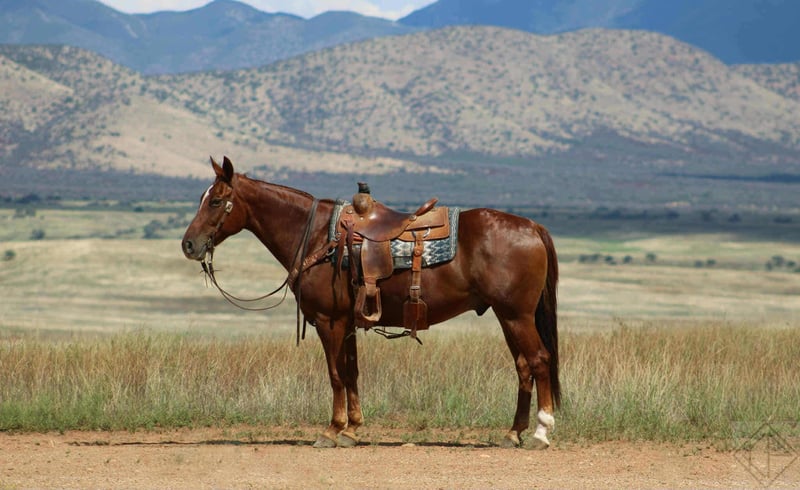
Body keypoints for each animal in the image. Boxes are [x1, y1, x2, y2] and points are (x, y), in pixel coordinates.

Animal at [181, 156, 561, 449]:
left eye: (215, 201)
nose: (188, 245)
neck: (316, 236)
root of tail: (532, 226)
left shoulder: (328, 321)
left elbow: (335, 374)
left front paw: (331, 431)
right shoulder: (347, 322)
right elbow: (351, 372)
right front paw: (352, 429)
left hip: (516, 315)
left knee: (539, 361)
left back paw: (540, 433)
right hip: (506, 316)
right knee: (523, 367)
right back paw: (512, 434)